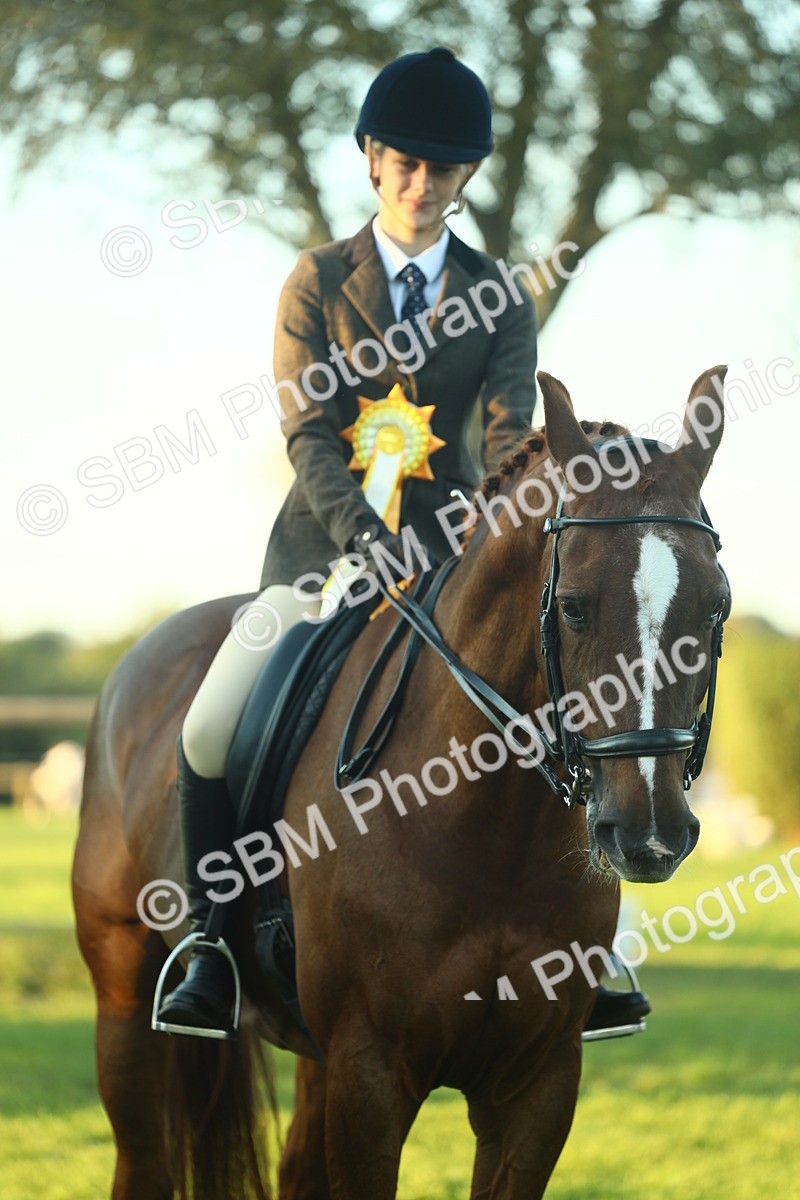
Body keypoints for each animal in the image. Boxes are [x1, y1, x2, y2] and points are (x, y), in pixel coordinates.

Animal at [72, 366, 730, 1199]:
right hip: (123, 994)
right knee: (142, 1156)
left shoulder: (538, 1084)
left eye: (715, 609)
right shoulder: (371, 1073)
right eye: (575, 607)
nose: (650, 833)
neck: (488, 837)